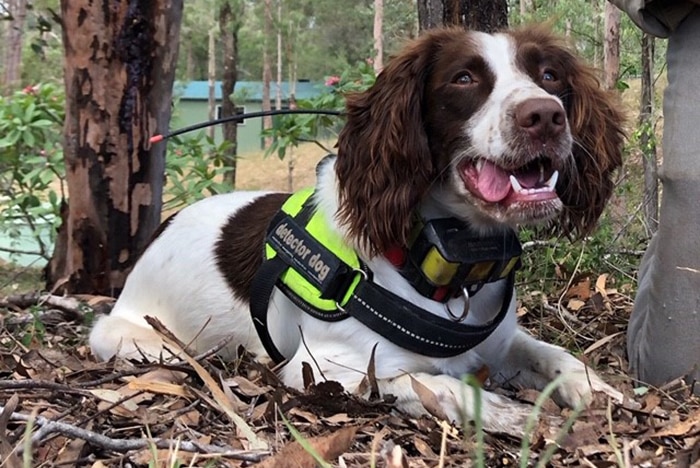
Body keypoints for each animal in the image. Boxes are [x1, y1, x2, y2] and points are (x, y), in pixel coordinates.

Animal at [91, 26, 624, 436]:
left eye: (549, 75)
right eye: (464, 78)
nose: (546, 115)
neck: (436, 261)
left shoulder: (500, 340)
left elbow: (553, 355)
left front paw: (597, 389)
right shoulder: (324, 369)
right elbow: (435, 384)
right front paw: (507, 412)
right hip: (138, 341)